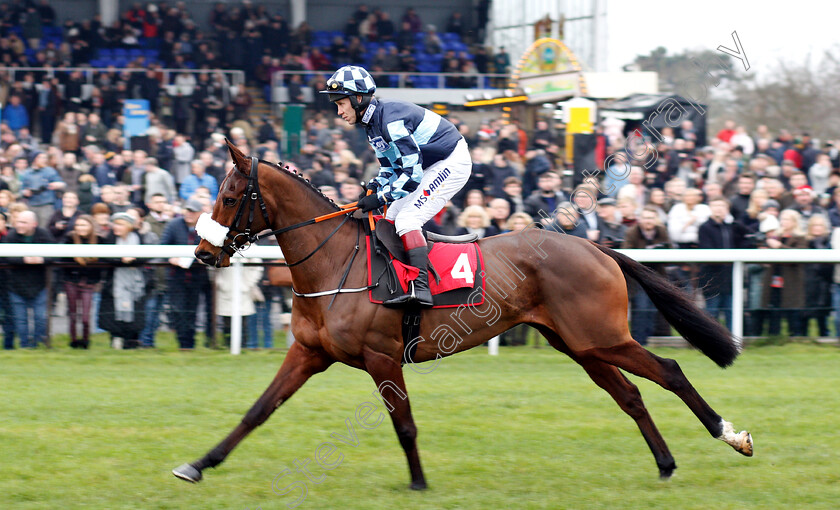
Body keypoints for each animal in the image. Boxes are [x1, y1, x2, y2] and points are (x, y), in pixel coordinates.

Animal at [172, 138, 756, 486]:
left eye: (229, 197)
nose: (202, 254)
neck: (334, 262)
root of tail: (596, 247)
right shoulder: (309, 353)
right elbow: (257, 411)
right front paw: (199, 464)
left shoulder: (382, 358)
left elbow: (404, 424)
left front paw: (418, 481)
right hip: (580, 344)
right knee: (631, 395)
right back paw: (665, 463)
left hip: (601, 336)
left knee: (671, 371)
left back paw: (732, 435)